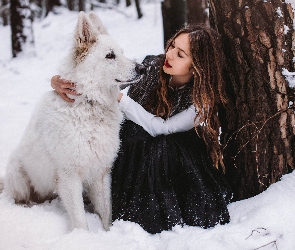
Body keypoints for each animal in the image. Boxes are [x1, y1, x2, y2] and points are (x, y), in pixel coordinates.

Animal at [3, 11, 143, 230]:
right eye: (110, 55)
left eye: (122, 52)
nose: (142, 68)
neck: (88, 102)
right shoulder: (69, 176)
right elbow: (80, 220)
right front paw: (83, 236)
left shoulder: (101, 173)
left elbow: (106, 213)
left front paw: (108, 233)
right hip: (18, 173)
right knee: (21, 197)